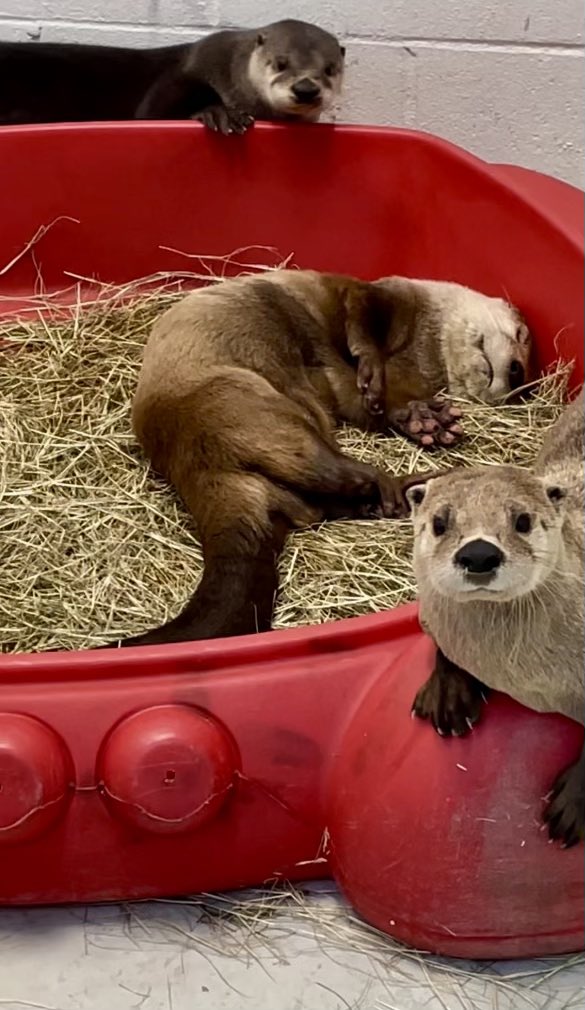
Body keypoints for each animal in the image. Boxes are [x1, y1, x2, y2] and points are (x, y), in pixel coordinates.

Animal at [0, 20, 343, 132]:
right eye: (280, 63)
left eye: (330, 69)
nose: (306, 88)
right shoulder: (186, 69)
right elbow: (150, 114)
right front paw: (218, 113)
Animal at [97, 268, 529, 646]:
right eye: (521, 339)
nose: (516, 376)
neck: (420, 345)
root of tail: (193, 462)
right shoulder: (373, 295)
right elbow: (363, 328)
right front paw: (386, 386)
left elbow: (375, 405)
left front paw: (425, 420)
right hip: (257, 409)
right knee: (343, 474)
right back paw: (411, 486)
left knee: (329, 496)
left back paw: (399, 494)